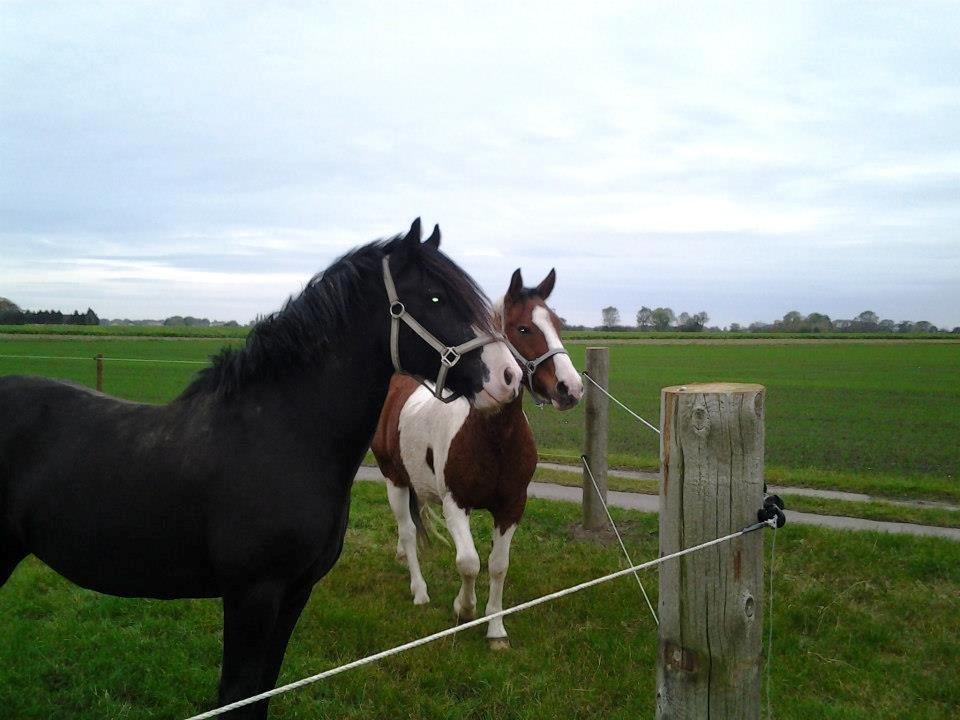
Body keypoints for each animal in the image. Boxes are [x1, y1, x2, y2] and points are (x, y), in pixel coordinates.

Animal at [0, 221, 520, 720]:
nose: (509, 378)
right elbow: (237, 694)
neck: (281, 435)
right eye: (434, 298)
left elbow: (262, 691)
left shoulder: (294, 592)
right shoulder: (252, 595)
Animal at [370, 268, 580, 648]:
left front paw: (495, 629)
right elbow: (468, 562)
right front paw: (463, 609)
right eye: (523, 329)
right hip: (394, 479)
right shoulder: (456, 504)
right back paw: (419, 591)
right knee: (407, 532)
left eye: (558, 324)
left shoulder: (512, 506)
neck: (493, 437)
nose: (569, 388)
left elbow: (498, 565)